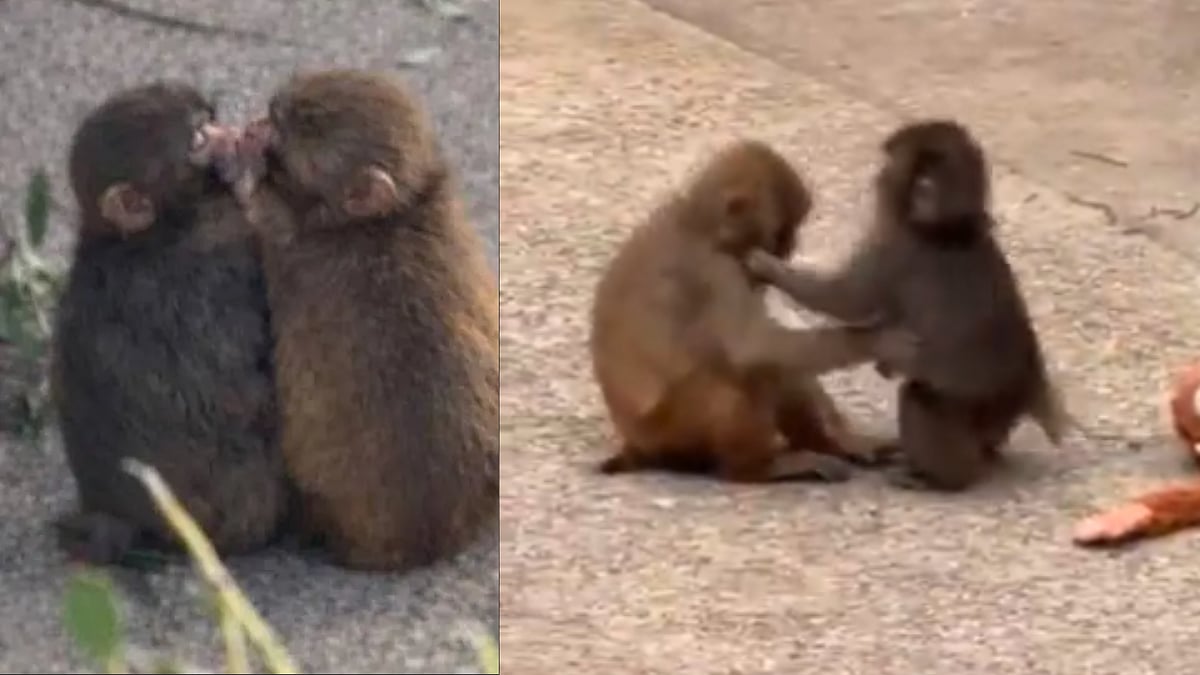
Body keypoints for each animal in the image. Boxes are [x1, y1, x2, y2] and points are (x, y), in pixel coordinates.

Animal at [51, 82, 288, 566]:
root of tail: (117, 515)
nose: (236, 135)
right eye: (198, 138)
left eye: (211, 119)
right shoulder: (218, 249)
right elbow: (250, 382)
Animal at [589, 139, 917, 485]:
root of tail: (635, 444)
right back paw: (758, 469)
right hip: (673, 431)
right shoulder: (715, 271)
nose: (788, 248)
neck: (700, 225)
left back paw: (829, 445)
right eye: (781, 232)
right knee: (739, 377)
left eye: (792, 231)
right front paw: (878, 341)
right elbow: (751, 348)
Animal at [744, 120, 1066, 492]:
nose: (877, 174)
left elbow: (847, 298)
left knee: (918, 400)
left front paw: (768, 266)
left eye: (889, 164)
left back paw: (941, 478)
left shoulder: (895, 249)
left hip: (972, 405)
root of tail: (1023, 389)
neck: (944, 227)